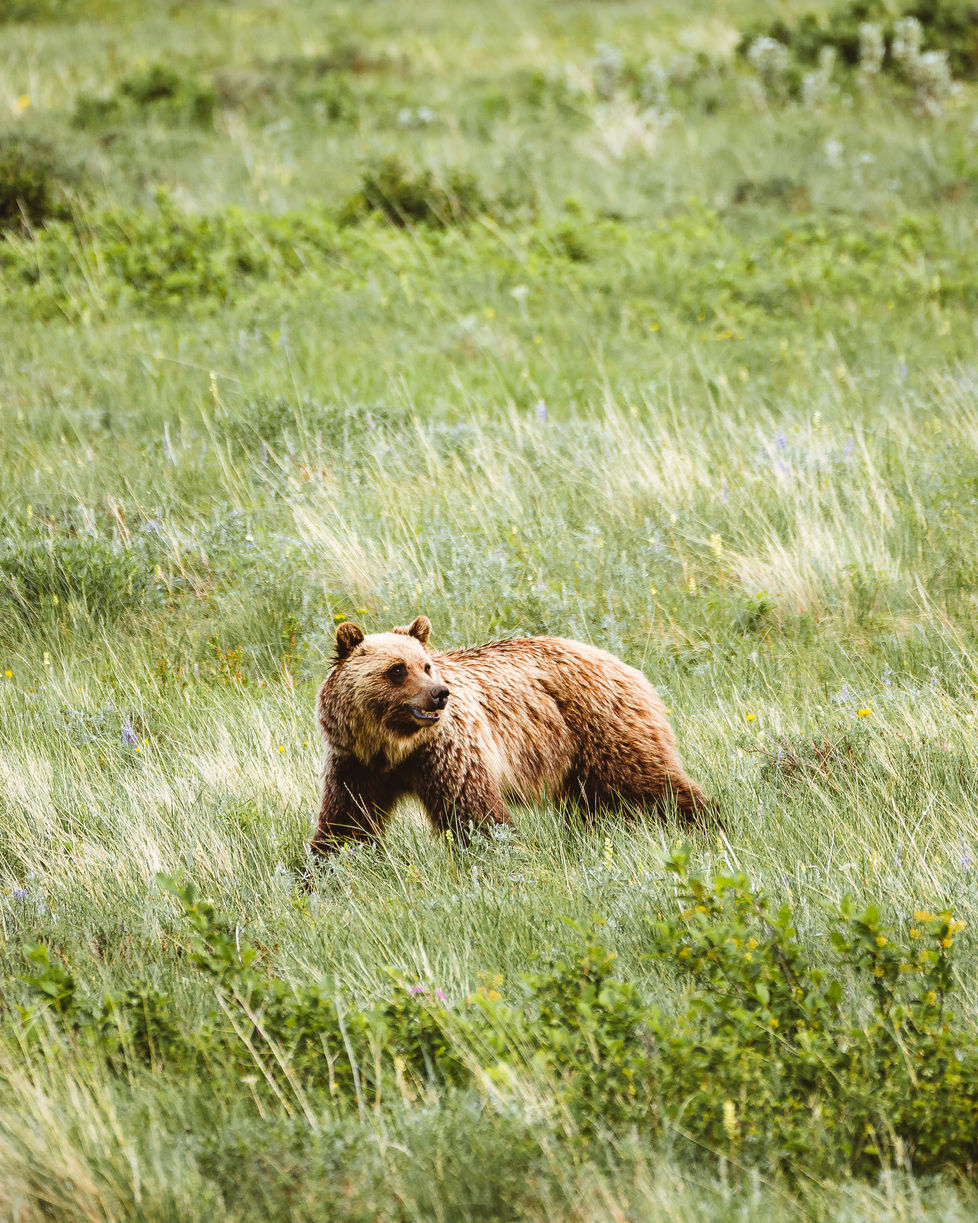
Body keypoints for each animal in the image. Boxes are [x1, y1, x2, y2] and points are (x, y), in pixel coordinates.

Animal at [309, 615, 712, 858]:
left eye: (425, 665)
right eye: (396, 670)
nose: (439, 693)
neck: (395, 746)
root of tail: (625, 664)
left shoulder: (446, 751)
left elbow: (474, 812)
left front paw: (500, 854)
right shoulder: (356, 764)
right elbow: (346, 823)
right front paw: (324, 870)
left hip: (603, 729)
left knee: (650, 784)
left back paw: (707, 822)